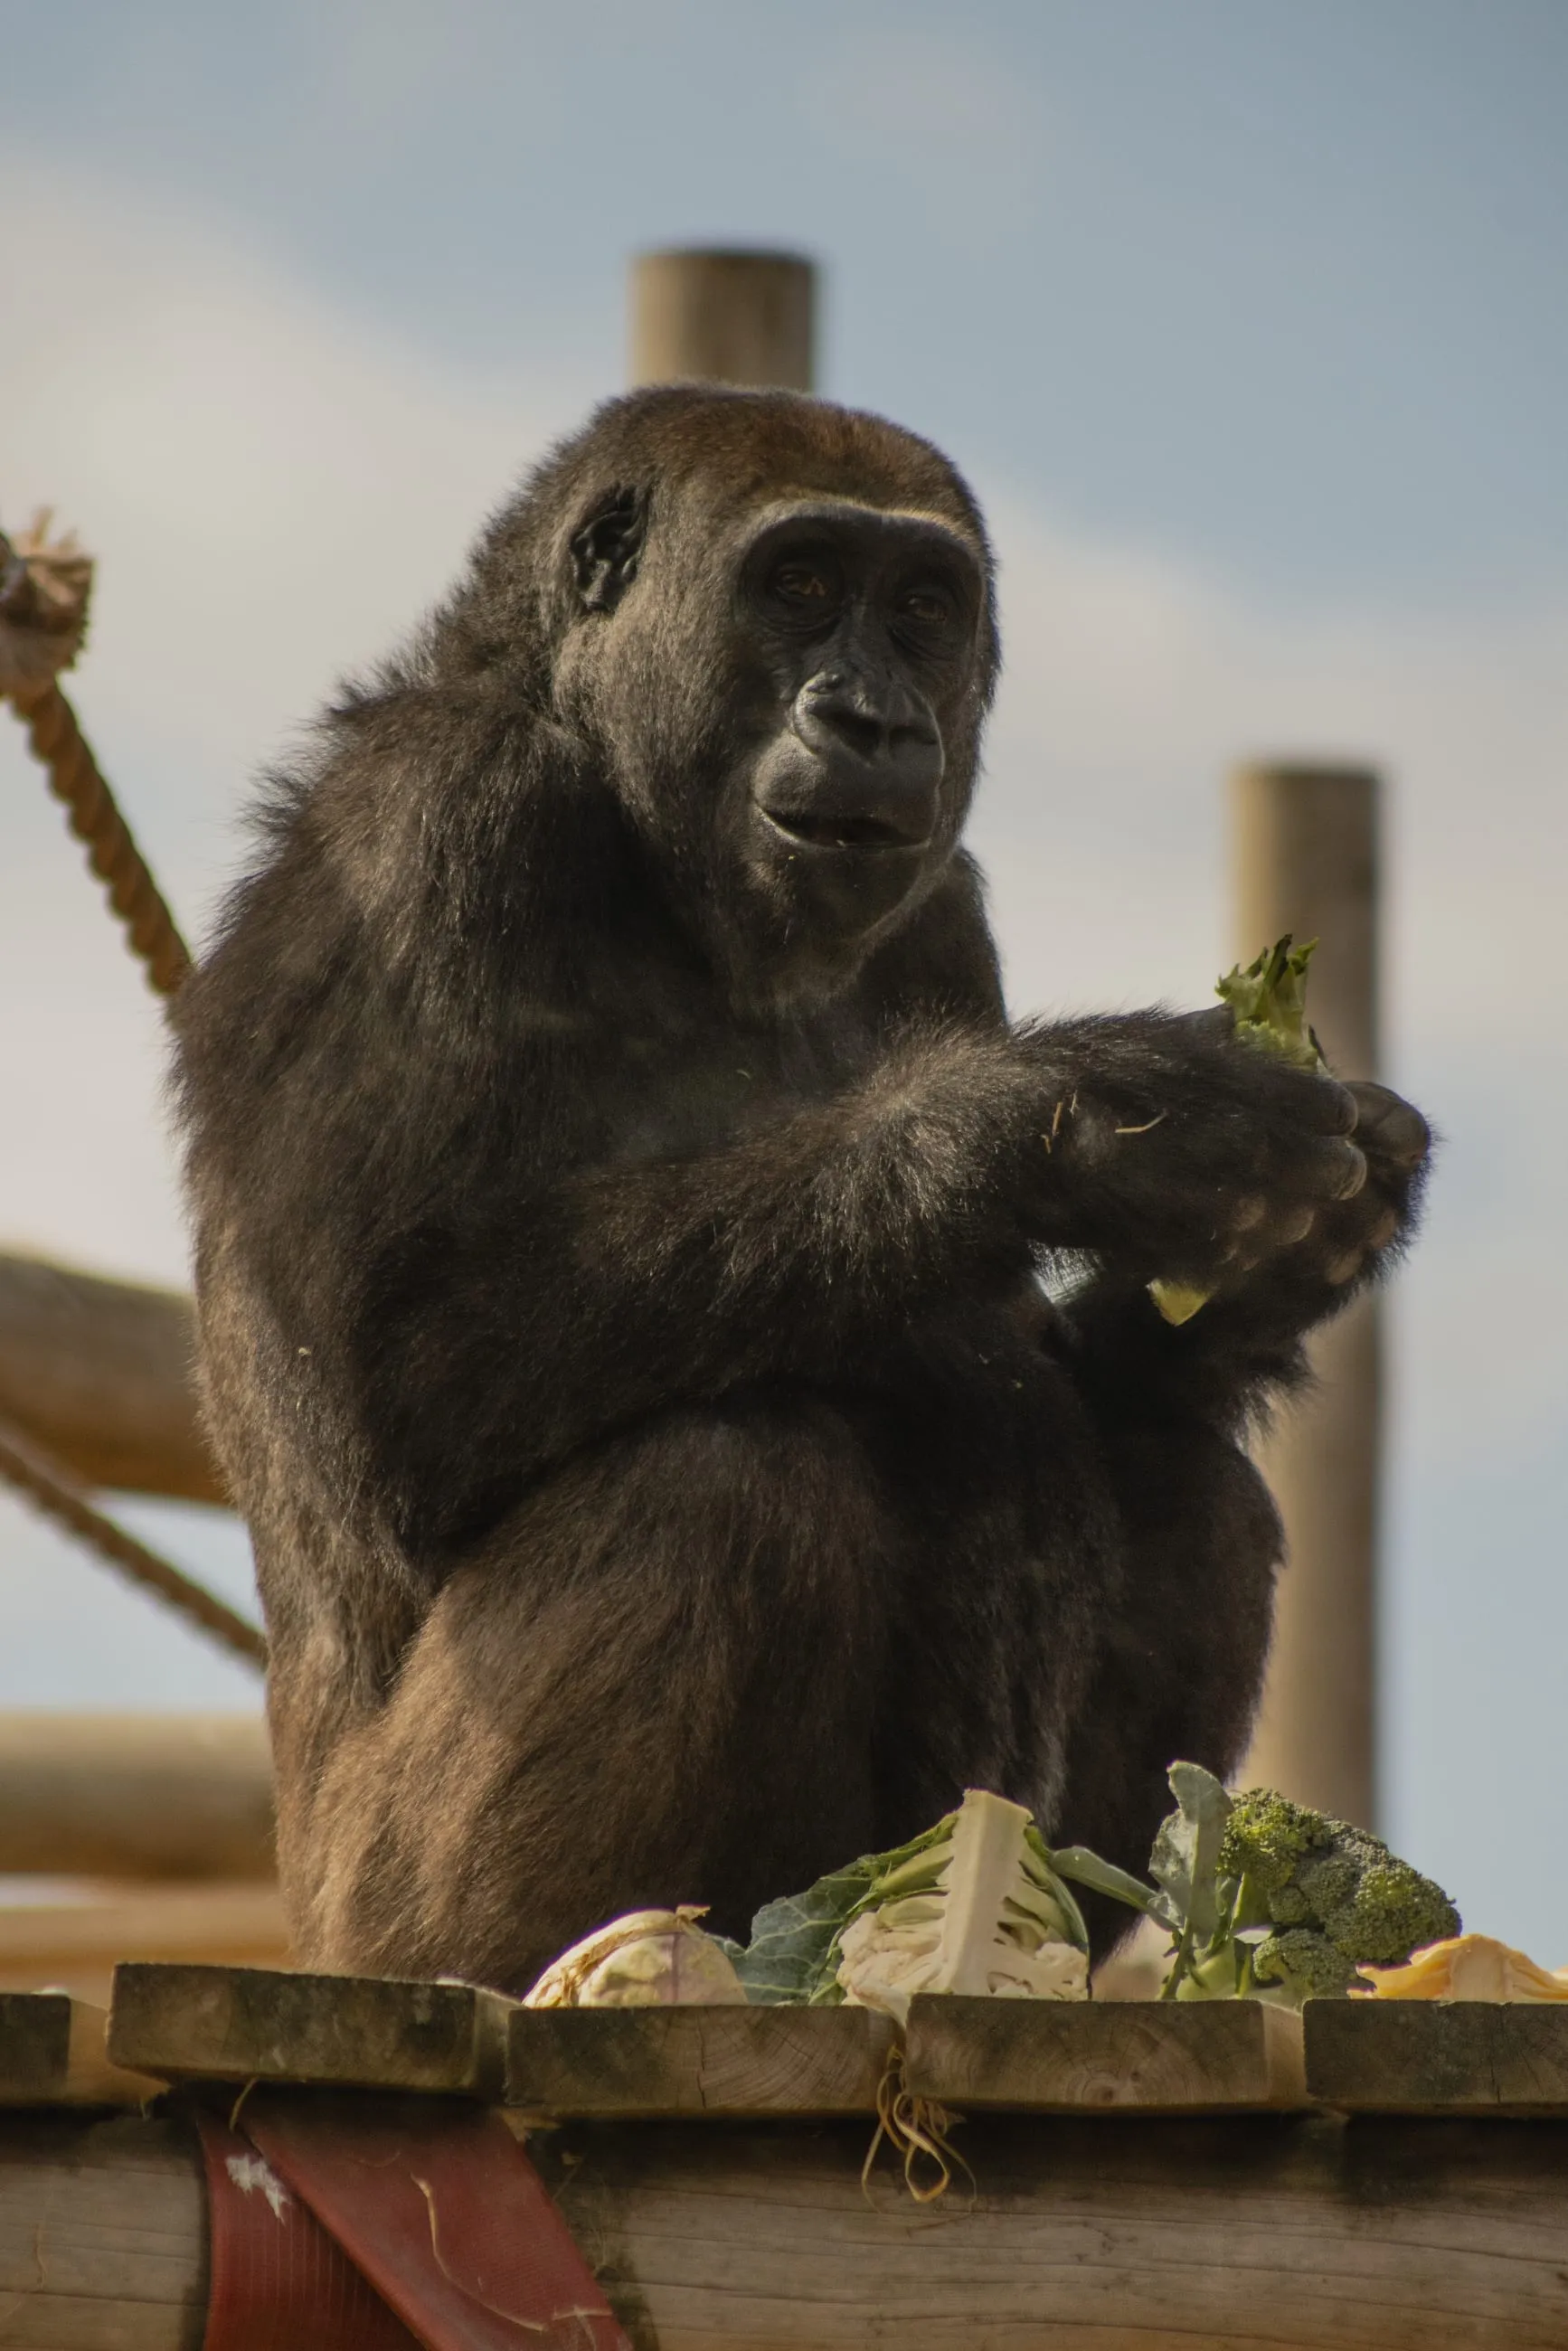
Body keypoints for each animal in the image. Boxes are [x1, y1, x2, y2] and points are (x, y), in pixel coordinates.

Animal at [171, 387, 1429, 1992]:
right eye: (802, 584)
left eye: (922, 607)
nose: (872, 718)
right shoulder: (429, 823)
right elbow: (390, 1371)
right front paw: (1063, 1122)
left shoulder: (942, 912)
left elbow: (1061, 1378)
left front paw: (1293, 1255)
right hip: (361, 1927)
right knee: (725, 1483)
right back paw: (569, 1955)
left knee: (1182, 1483)